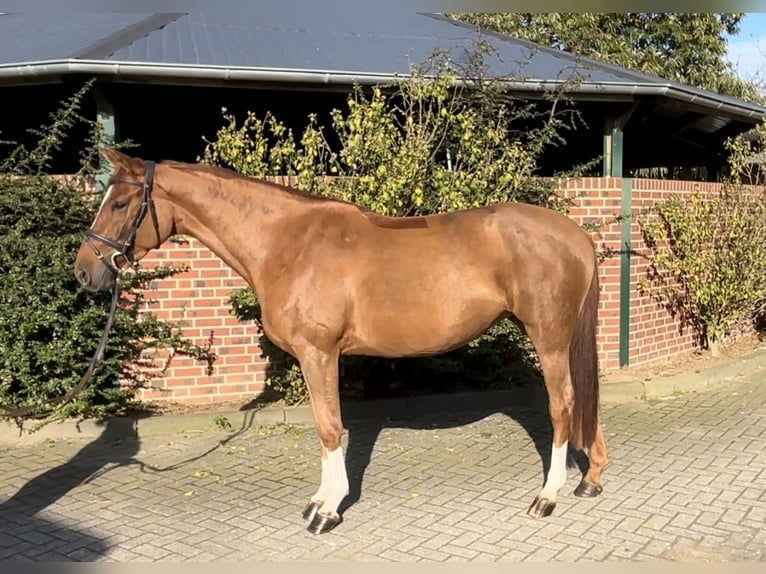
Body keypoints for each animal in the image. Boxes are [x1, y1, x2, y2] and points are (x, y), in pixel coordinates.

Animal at [75, 148, 608, 536]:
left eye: (119, 204)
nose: (84, 272)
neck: (288, 244)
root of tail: (576, 236)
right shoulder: (317, 358)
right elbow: (324, 428)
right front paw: (319, 500)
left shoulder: (319, 354)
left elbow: (330, 428)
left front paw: (326, 511)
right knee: (584, 400)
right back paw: (590, 480)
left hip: (549, 338)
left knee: (563, 403)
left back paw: (548, 496)